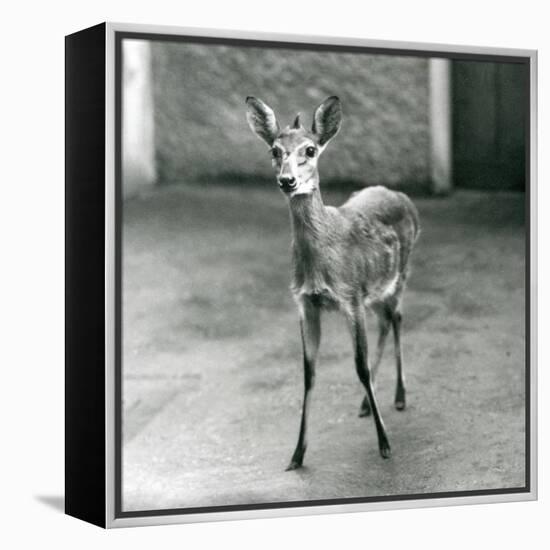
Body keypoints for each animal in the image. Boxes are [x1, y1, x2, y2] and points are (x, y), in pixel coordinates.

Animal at [247, 95, 422, 470]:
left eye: (310, 150)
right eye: (274, 150)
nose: (287, 181)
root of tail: (401, 196)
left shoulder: (350, 297)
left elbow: (359, 367)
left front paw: (385, 445)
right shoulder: (306, 303)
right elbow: (308, 373)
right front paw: (296, 455)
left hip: (399, 275)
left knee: (397, 318)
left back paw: (399, 397)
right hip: (375, 290)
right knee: (385, 321)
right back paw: (367, 404)